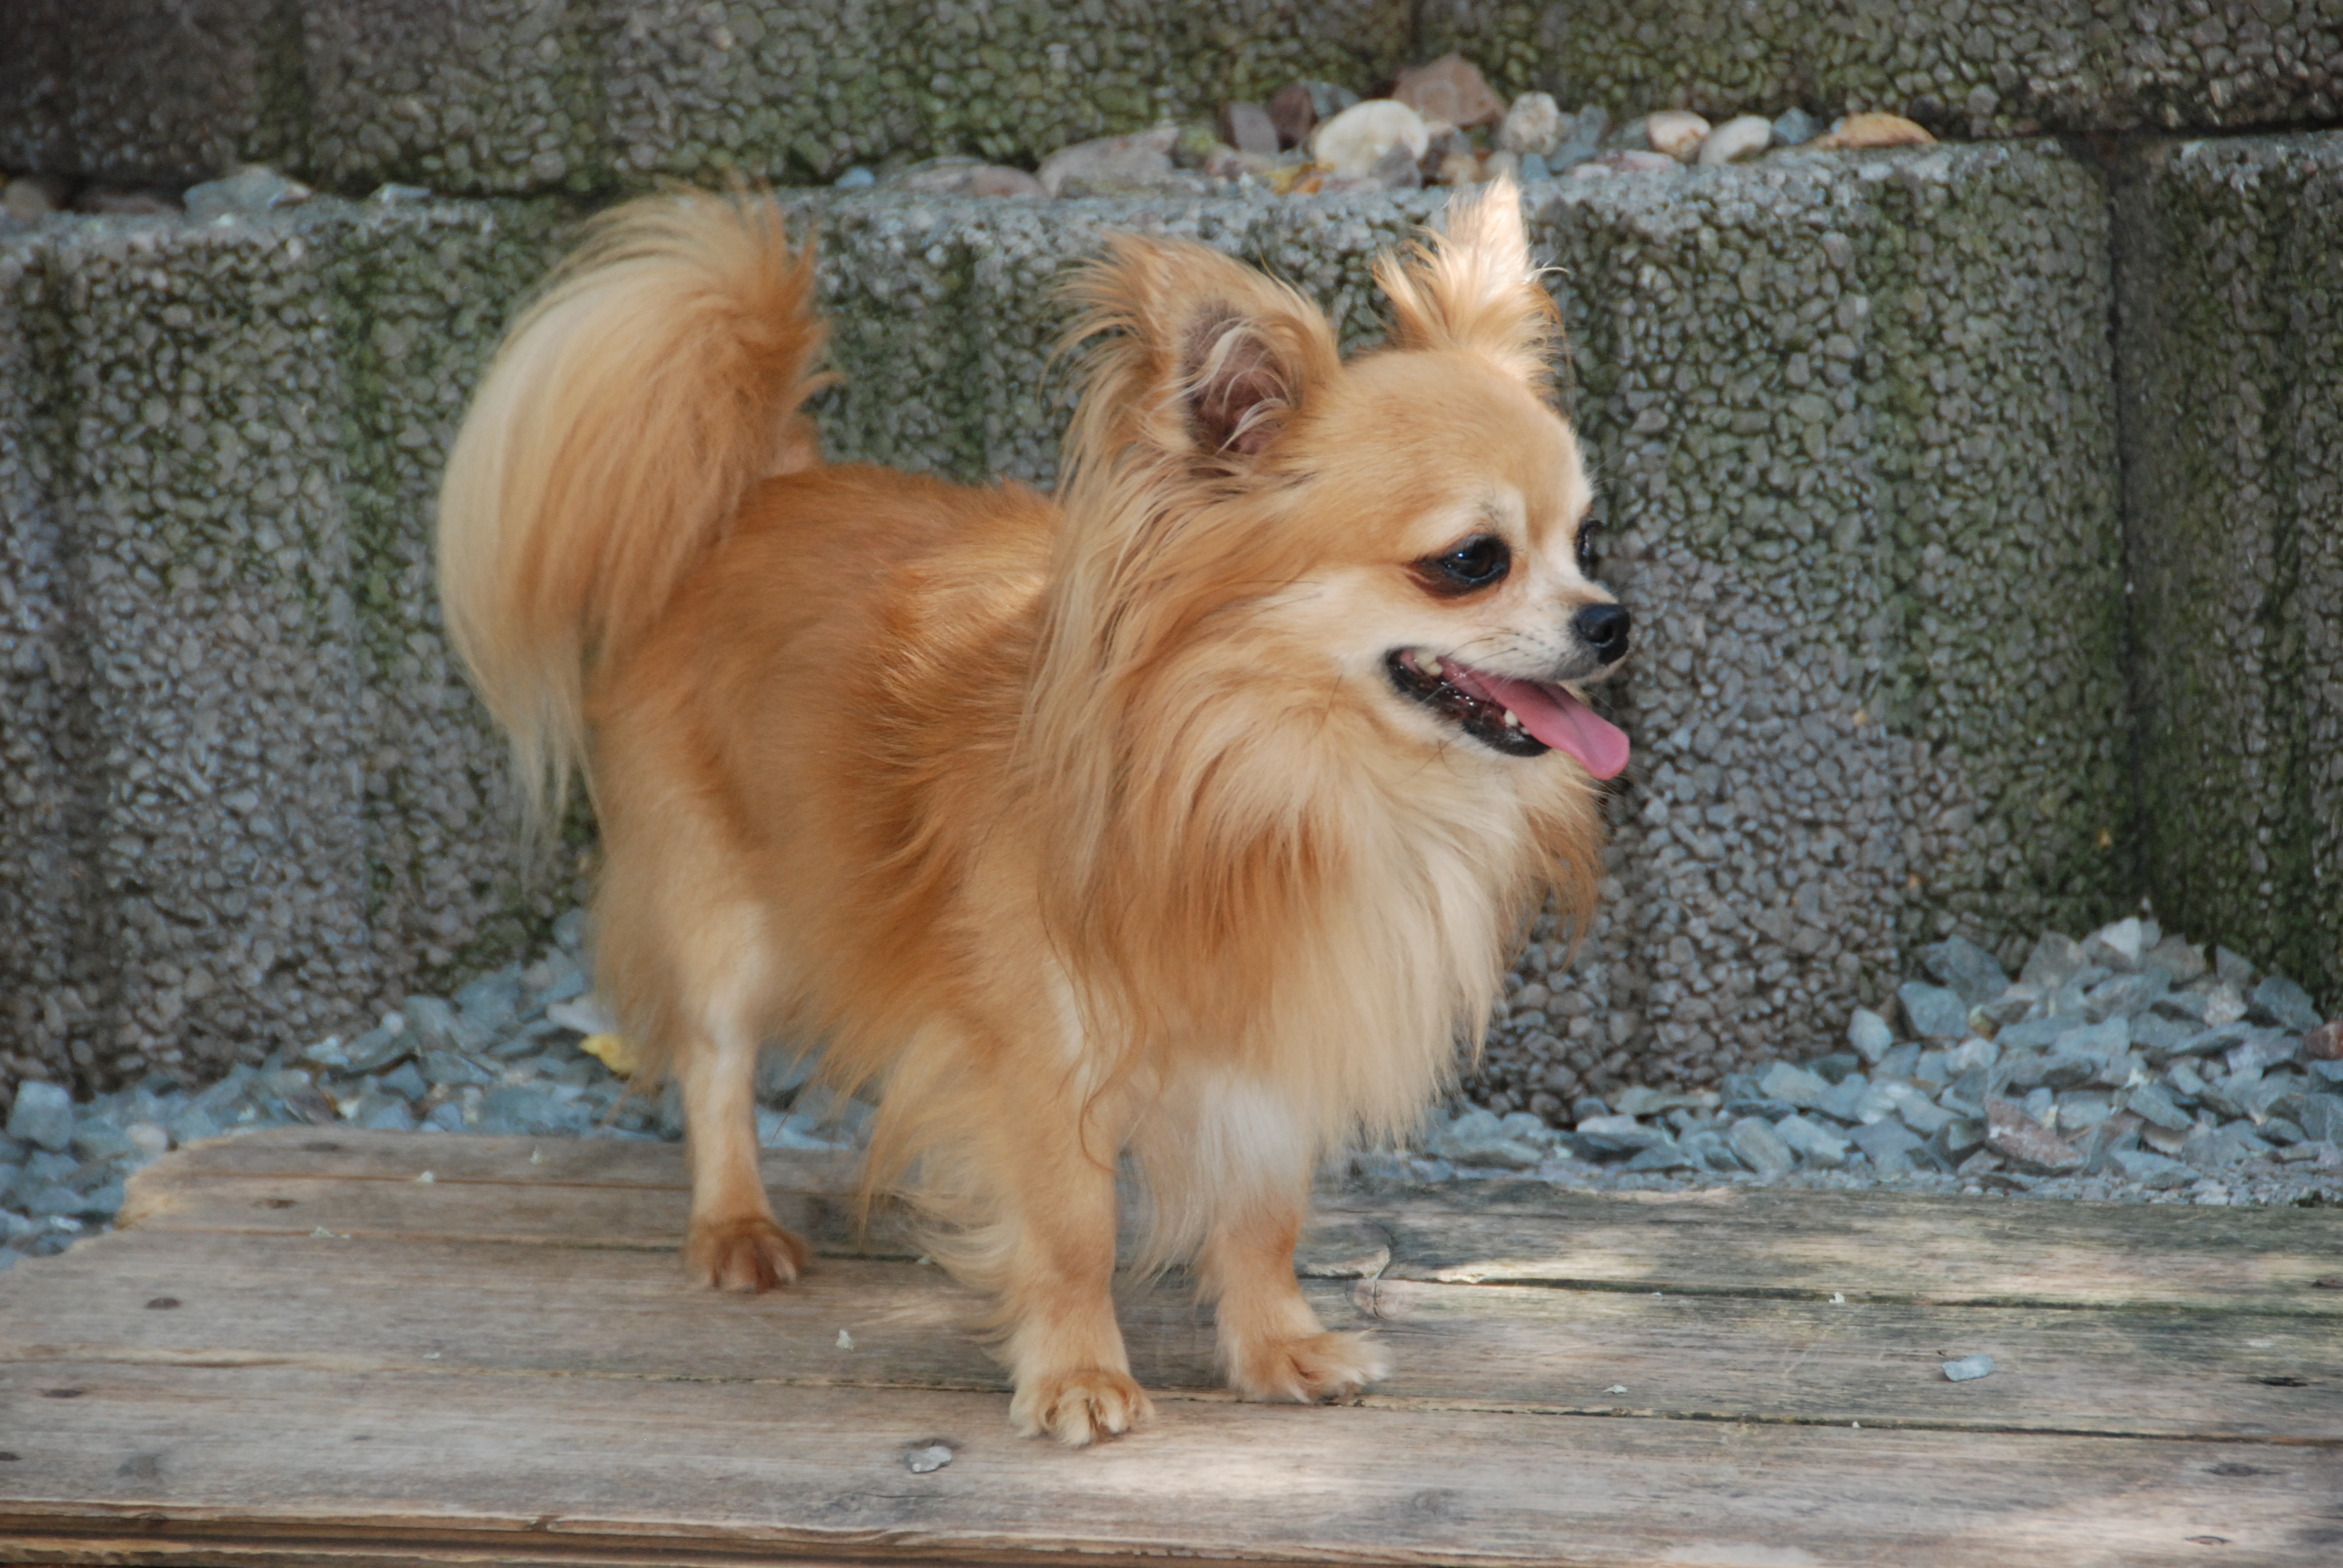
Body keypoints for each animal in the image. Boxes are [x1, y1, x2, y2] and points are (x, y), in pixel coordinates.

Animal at [436, 180, 1630, 1443]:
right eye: (1471, 560)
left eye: (1585, 542)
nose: (1613, 620)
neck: (1279, 770)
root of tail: (761, 492)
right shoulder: (1044, 1051)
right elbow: (1072, 1227)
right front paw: (1076, 1372)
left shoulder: (1272, 1037)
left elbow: (1261, 1215)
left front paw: (1275, 1347)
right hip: (721, 909)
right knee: (715, 1062)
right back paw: (736, 1223)